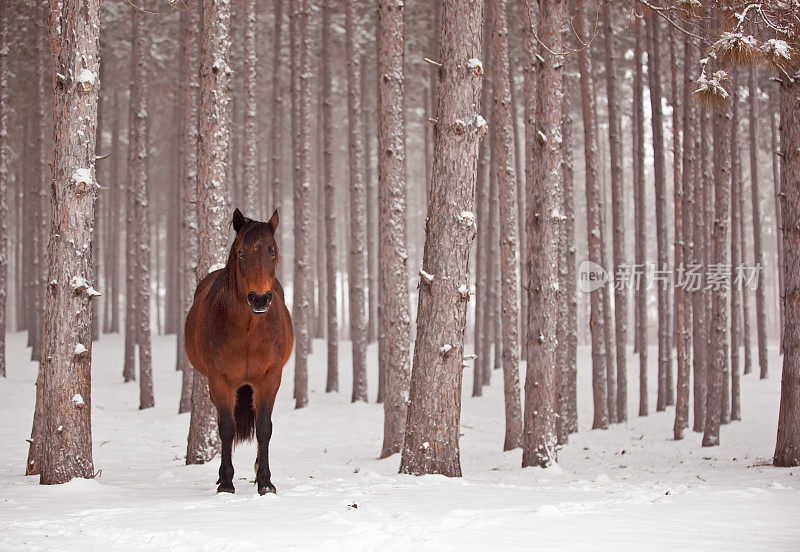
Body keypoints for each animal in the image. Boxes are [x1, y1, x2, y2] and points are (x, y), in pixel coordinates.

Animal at [184, 209, 294, 494]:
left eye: (273, 251)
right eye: (242, 253)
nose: (259, 298)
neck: (248, 331)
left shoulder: (269, 378)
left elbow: (264, 428)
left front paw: (265, 482)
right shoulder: (220, 380)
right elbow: (226, 428)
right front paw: (225, 481)